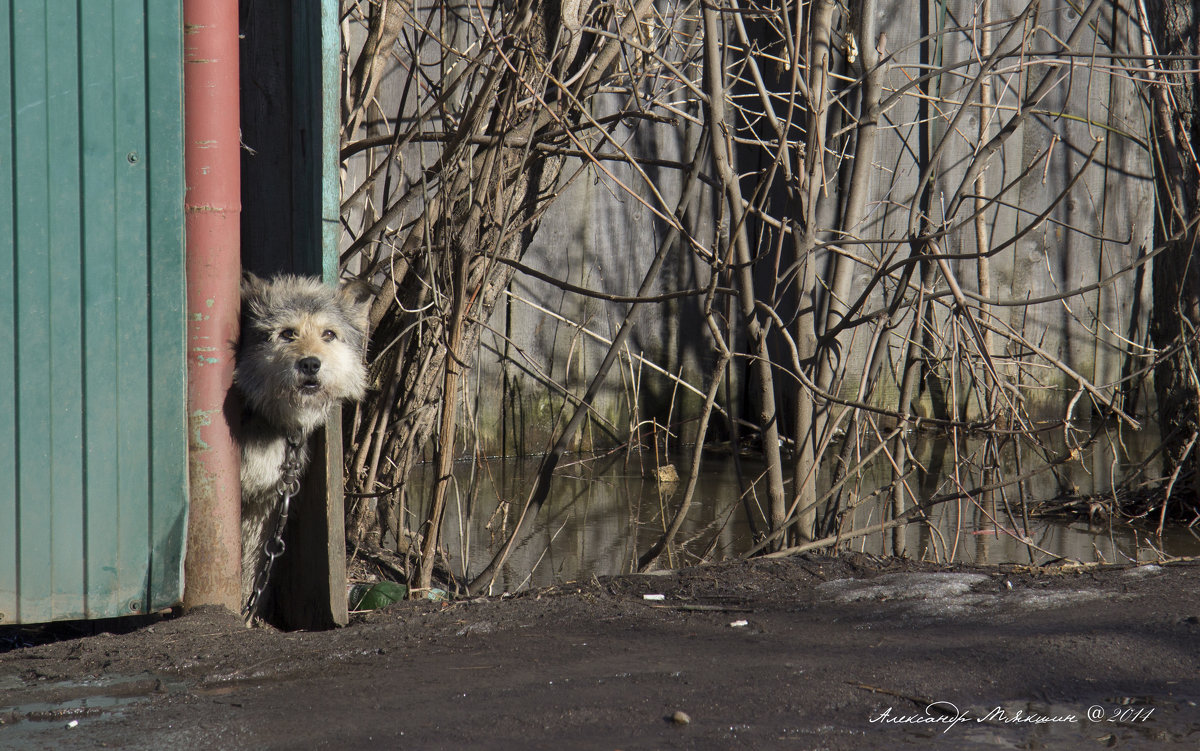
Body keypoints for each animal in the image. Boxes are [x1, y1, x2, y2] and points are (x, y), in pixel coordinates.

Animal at [231, 269, 367, 614]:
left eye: (328, 334)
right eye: (287, 333)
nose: (310, 364)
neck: (261, 415)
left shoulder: (264, 506)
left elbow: (253, 572)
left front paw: (247, 615)